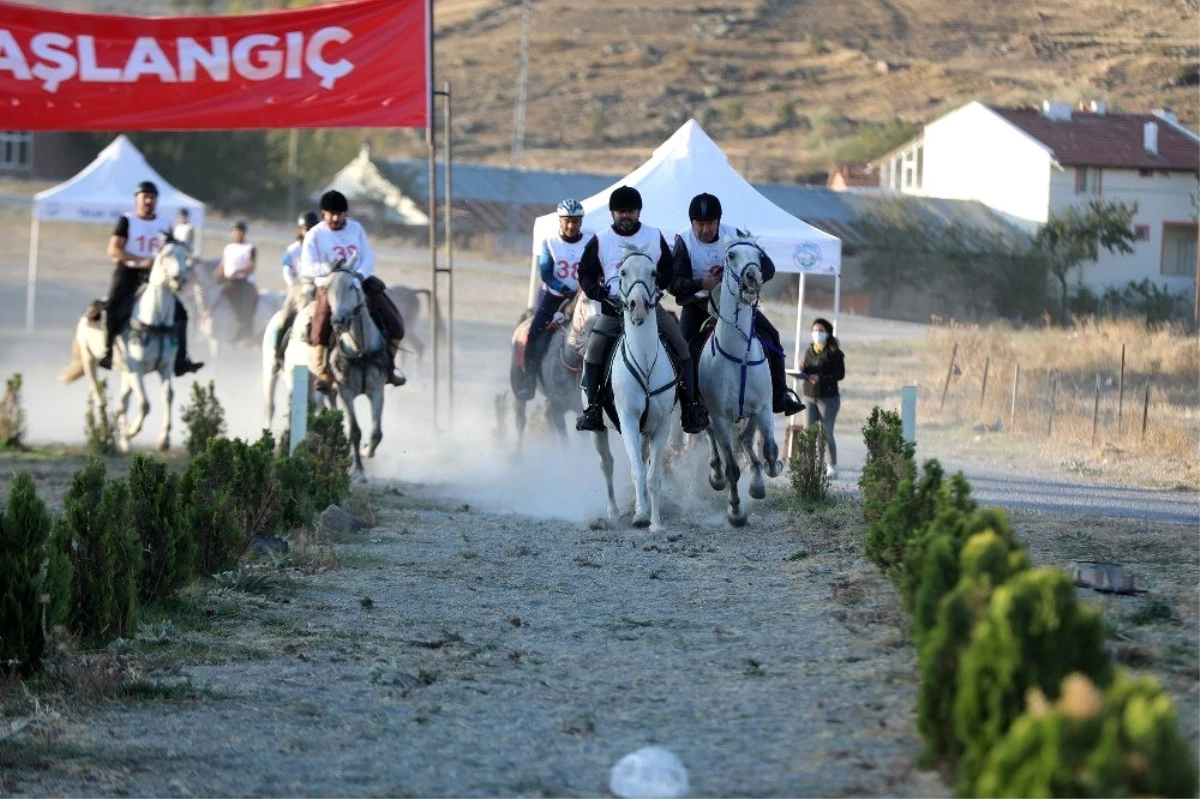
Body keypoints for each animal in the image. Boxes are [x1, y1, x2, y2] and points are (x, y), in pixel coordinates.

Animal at [60, 233, 190, 451]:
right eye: (165, 255)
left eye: (186, 256)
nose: (177, 280)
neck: (155, 321)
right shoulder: (136, 369)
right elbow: (145, 404)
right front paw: (131, 431)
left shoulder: (164, 367)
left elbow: (168, 396)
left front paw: (163, 439)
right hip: (90, 360)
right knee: (100, 398)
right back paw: (107, 434)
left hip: (125, 371)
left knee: (122, 403)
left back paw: (123, 442)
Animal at [324, 267, 388, 479]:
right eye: (327, 288)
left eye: (352, 286)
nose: (337, 321)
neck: (361, 352)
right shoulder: (345, 393)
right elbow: (354, 432)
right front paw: (358, 470)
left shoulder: (377, 391)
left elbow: (376, 433)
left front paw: (366, 450)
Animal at [595, 242, 681, 527]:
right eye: (622, 272)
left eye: (653, 272)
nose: (639, 306)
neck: (644, 362)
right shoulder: (629, 420)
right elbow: (637, 470)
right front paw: (642, 515)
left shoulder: (662, 423)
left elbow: (652, 476)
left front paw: (655, 522)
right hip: (598, 429)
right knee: (607, 464)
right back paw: (612, 512)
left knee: (642, 460)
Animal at [700, 233, 782, 525]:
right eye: (731, 256)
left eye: (759, 256)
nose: (752, 277)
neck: (739, 356)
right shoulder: (721, 417)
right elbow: (733, 468)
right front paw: (735, 512)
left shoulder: (764, 407)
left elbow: (770, 450)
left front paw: (763, 478)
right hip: (709, 416)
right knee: (712, 438)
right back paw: (716, 476)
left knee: (746, 440)